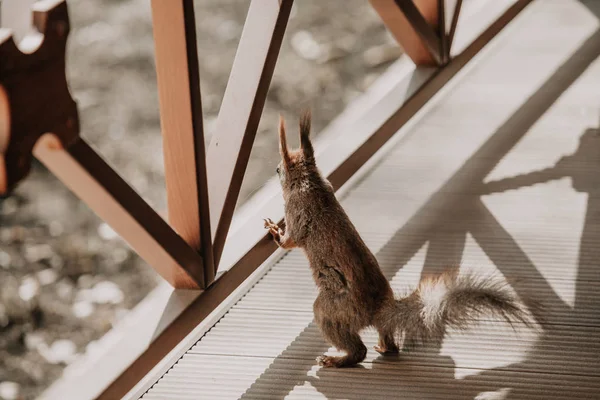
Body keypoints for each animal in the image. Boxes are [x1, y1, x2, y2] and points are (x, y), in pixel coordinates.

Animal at [264, 110, 536, 368]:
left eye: (279, 169)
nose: (275, 169)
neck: (311, 182)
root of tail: (378, 310)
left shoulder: (297, 213)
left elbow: (291, 241)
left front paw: (274, 231)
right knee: (387, 339)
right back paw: (385, 348)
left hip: (332, 310)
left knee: (356, 349)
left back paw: (337, 360)